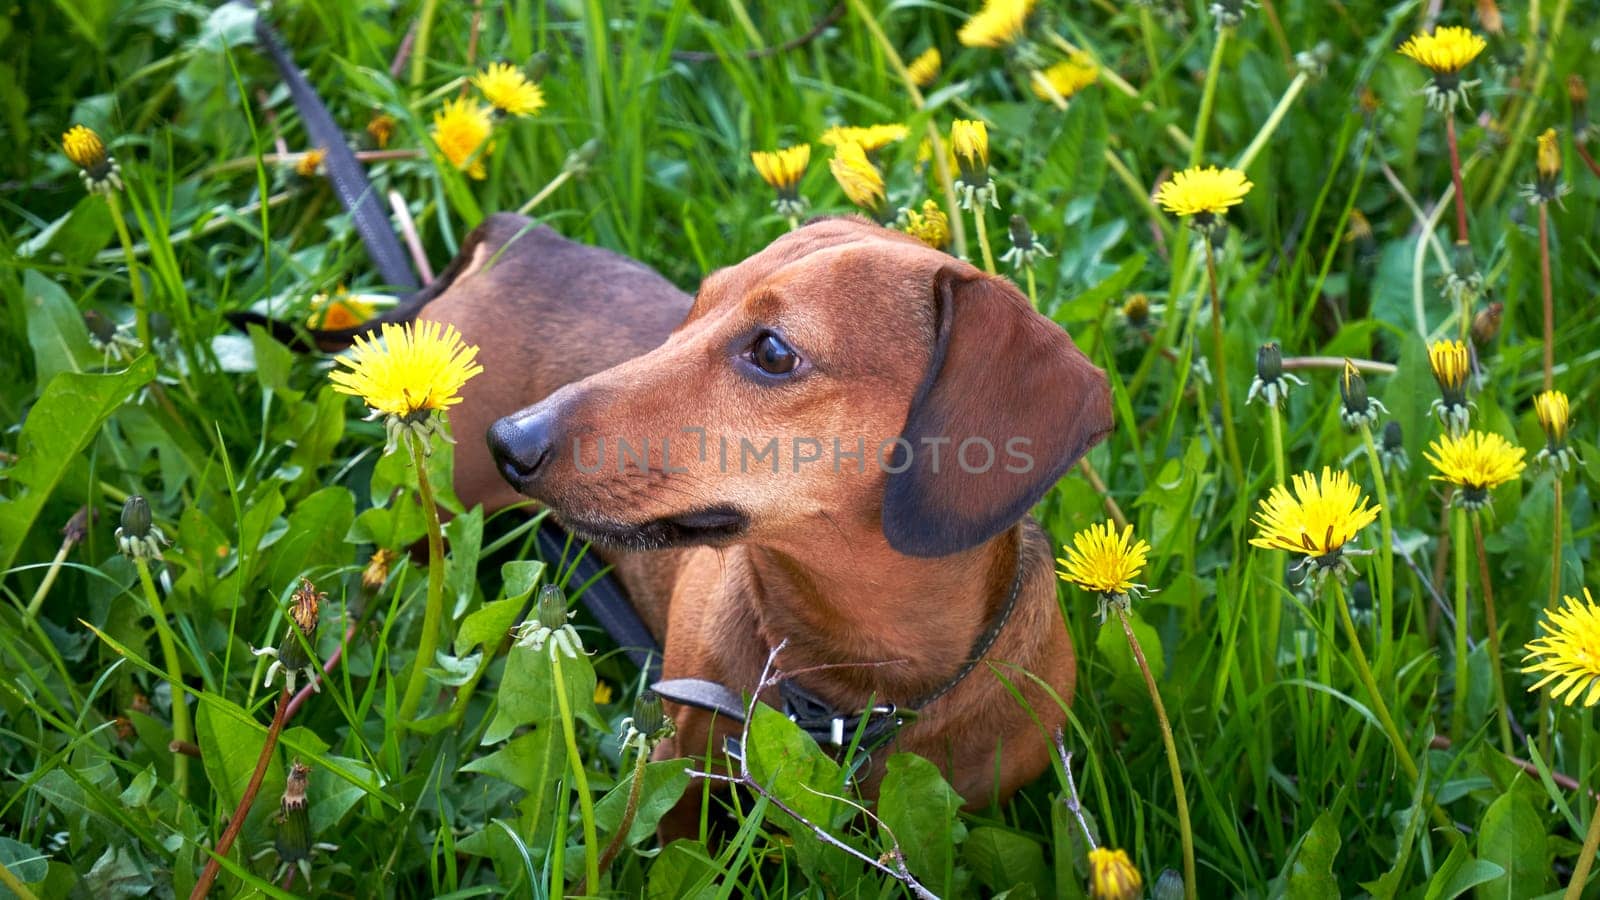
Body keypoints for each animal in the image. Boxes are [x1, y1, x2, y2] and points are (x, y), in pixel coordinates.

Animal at [422, 212, 1113, 816]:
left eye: (774, 352)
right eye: (694, 308)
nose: (509, 441)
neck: (850, 695)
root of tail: (521, 234)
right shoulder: (677, 777)